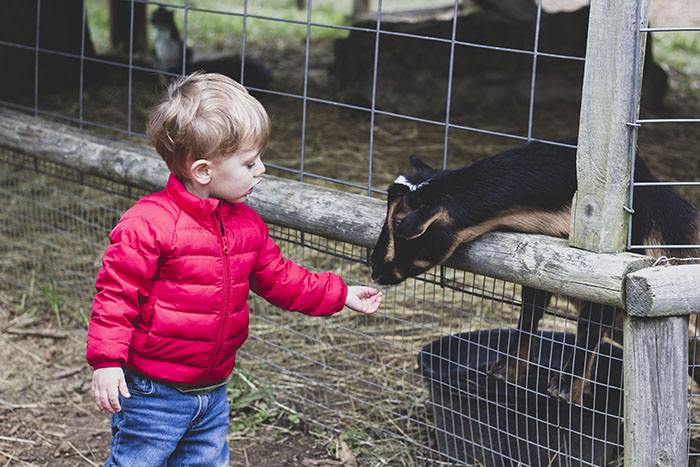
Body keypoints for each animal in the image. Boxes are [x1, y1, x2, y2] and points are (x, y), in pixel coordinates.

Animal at [370, 139, 700, 406]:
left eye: (399, 222)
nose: (373, 267)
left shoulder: (614, 274)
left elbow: (591, 323)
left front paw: (566, 388)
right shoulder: (539, 265)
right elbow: (531, 312)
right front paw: (505, 370)